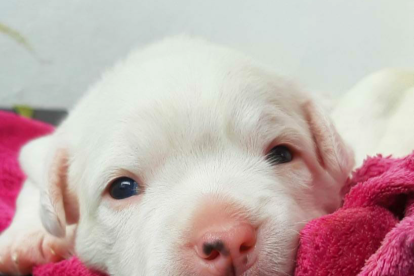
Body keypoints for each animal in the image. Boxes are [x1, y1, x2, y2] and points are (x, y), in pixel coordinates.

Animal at [0, 37, 352, 276]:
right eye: (121, 188)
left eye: (282, 154)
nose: (228, 239)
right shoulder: (43, 147)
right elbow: (35, 185)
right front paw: (25, 241)